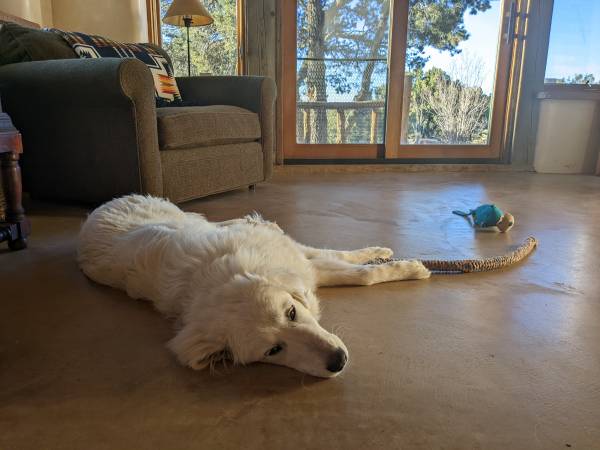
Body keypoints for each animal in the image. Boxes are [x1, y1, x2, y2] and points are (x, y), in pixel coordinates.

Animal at [77, 195, 432, 378]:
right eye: (273, 351)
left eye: (291, 313)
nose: (338, 361)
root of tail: (98, 209)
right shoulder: (307, 268)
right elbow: (358, 274)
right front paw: (405, 267)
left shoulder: (299, 260)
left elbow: (348, 261)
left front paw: (389, 257)